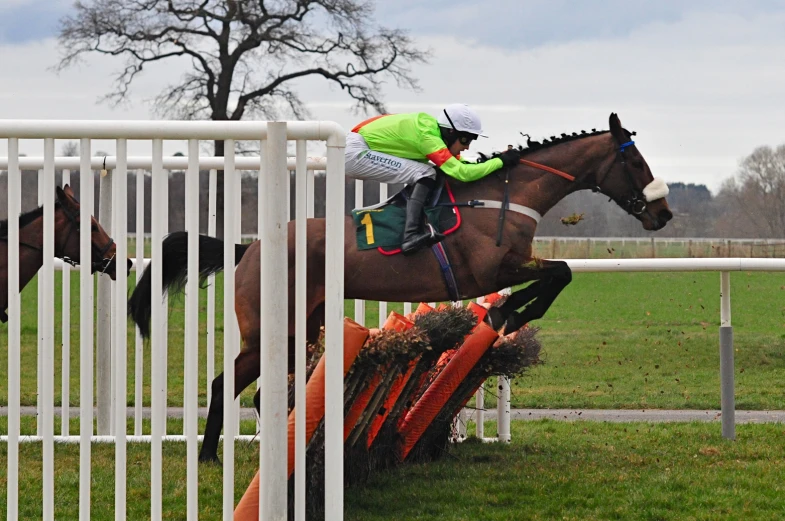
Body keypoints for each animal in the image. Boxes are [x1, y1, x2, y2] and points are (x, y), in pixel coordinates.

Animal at [130, 111, 672, 462]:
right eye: (637, 164)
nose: (664, 213)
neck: (502, 198)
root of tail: (248, 248)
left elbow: (560, 272)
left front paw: (508, 314)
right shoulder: (496, 270)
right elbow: (559, 271)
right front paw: (510, 313)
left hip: (302, 329)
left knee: (266, 393)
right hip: (270, 331)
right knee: (227, 385)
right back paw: (209, 458)